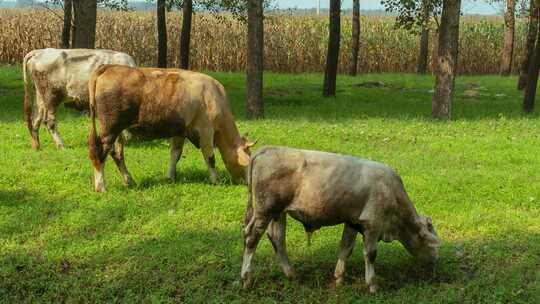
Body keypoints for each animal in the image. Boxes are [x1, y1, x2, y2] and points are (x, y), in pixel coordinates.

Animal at [87, 64, 256, 192]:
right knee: (100, 151)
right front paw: (216, 180)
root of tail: (109, 67)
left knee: (117, 153)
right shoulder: (206, 131)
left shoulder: (180, 131)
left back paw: (129, 181)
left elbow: (175, 153)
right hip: (110, 128)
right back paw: (101, 186)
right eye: (248, 162)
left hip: (117, 130)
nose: (249, 184)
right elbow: (210, 157)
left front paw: (170, 177)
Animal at [243, 146, 440, 294]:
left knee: (277, 238)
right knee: (251, 237)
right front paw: (372, 284)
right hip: (265, 210)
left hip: (277, 213)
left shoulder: (353, 222)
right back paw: (246, 278)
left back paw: (291, 274)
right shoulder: (373, 223)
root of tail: (267, 149)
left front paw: (339, 277)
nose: (436, 261)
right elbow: (371, 254)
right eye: (433, 246)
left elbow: (346, 248)